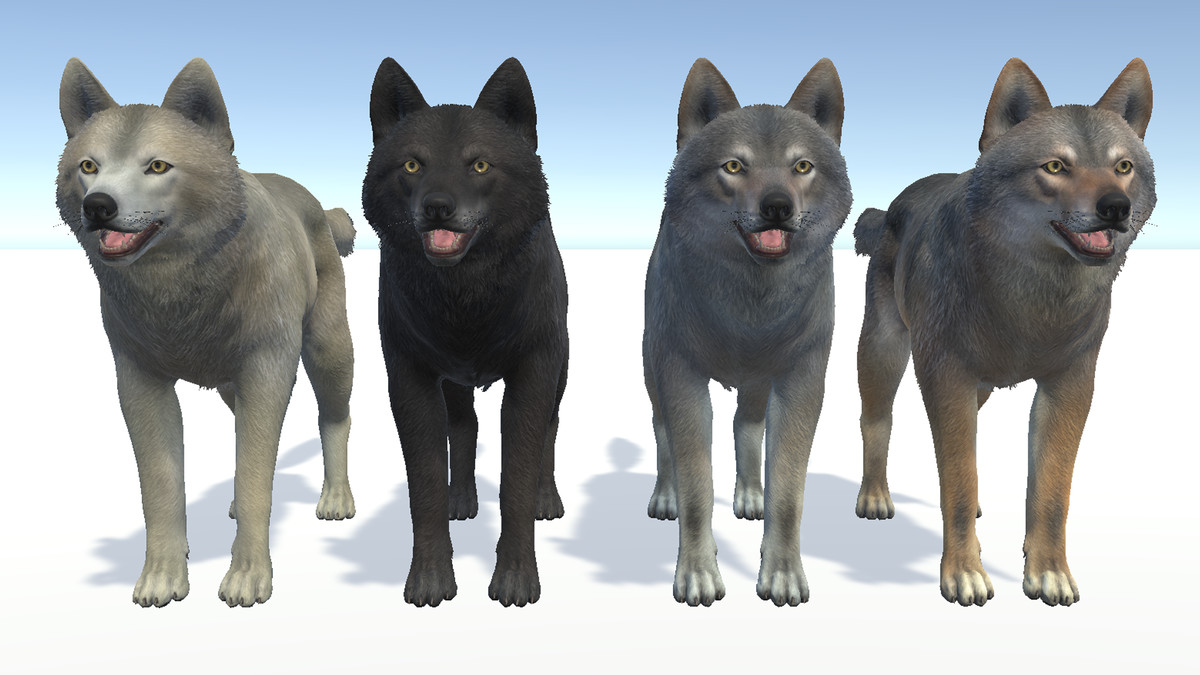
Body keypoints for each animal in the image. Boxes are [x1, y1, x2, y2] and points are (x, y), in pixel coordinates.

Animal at [56, 58, 357, 607]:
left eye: (157, 167)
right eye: (88, 166)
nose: (99, 206)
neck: (179, 295)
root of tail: (314, 202)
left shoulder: (266, 370)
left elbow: (257, 475)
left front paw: (248, 576)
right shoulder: (139, 381)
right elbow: (161, 486)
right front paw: (162, 574)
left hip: (327, 352)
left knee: (334, 417)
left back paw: (336, 496)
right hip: (226, 386)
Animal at [363, 57, 568, 607]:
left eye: (479, 166)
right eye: (413, 165)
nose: (438, 206)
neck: (465, 302)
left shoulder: (532, 373)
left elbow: (517, 477)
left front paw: (516, 579)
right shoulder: (409, 379)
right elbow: (426, 483)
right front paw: (430, 579)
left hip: (559, 372)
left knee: (550, 430)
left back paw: (547, 499)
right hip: (454, 383)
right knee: (465, 425)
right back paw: (463, 500)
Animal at [643, 58, 852, 606]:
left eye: (802, 166)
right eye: (734, 167)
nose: (777, 206)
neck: (751, 310)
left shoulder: (802, 383)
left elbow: (789, 492)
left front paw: (782, 573)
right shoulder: (683, 377)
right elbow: (696, 485)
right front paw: (697, 574)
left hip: (758, 385)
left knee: (747, 425)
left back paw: (750, 495)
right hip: (655, 373)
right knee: (662, 434)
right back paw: (664, 495)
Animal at [853, 58, 1155, 606]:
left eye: (1123, 167)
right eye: (1055, 167)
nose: (1115, 207)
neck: (1032, 304)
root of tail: (895, 203)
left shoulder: (1070, 385)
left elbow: (1050, 491)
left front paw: (1049, 572)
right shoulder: (945, 378)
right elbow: (958, 477)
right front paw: (963, 573)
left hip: (983, 387)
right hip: (885, 354)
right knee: (876, 421)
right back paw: (874, 496)